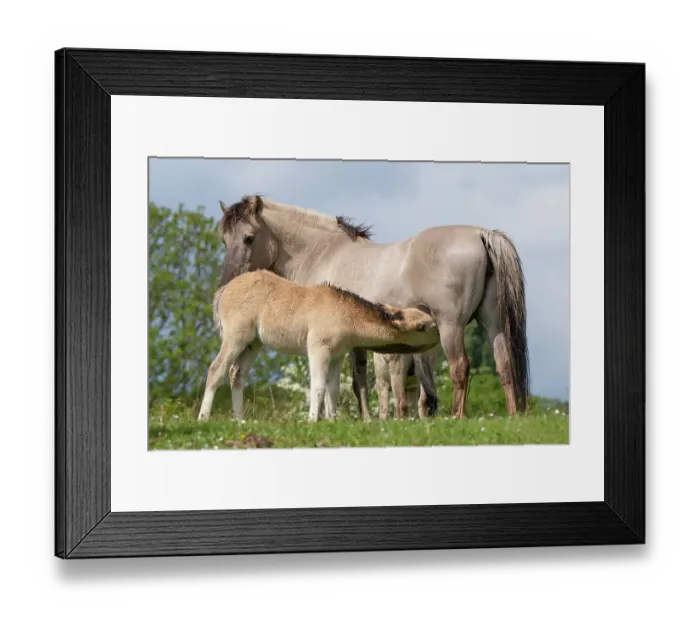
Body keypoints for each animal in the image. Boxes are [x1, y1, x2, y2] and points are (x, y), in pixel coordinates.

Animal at [197, 269, 439, 423]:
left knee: (237, 374)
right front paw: (313, 419)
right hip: (235, 338)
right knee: (216, 370)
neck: (346, 313)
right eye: (424, 326)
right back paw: (203, 417)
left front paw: (332, 421)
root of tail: (225, 290)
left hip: (253, 343)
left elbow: (333, 388)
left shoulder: (337, 355)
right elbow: (319, 386)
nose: (440, 335)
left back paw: (240, 419)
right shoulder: (318, 349)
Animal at [215, 194, 530, 419]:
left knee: (460, 367)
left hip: (450, 326)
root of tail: (481, 234)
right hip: (492, 324)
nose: (227, 283)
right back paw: (513, 416)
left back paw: (457, 417)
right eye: (224, 239)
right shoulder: (357, 340)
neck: (322, 253)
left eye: (249, 237)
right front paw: (367, 419)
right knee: (504, 365)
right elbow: (360, 382)